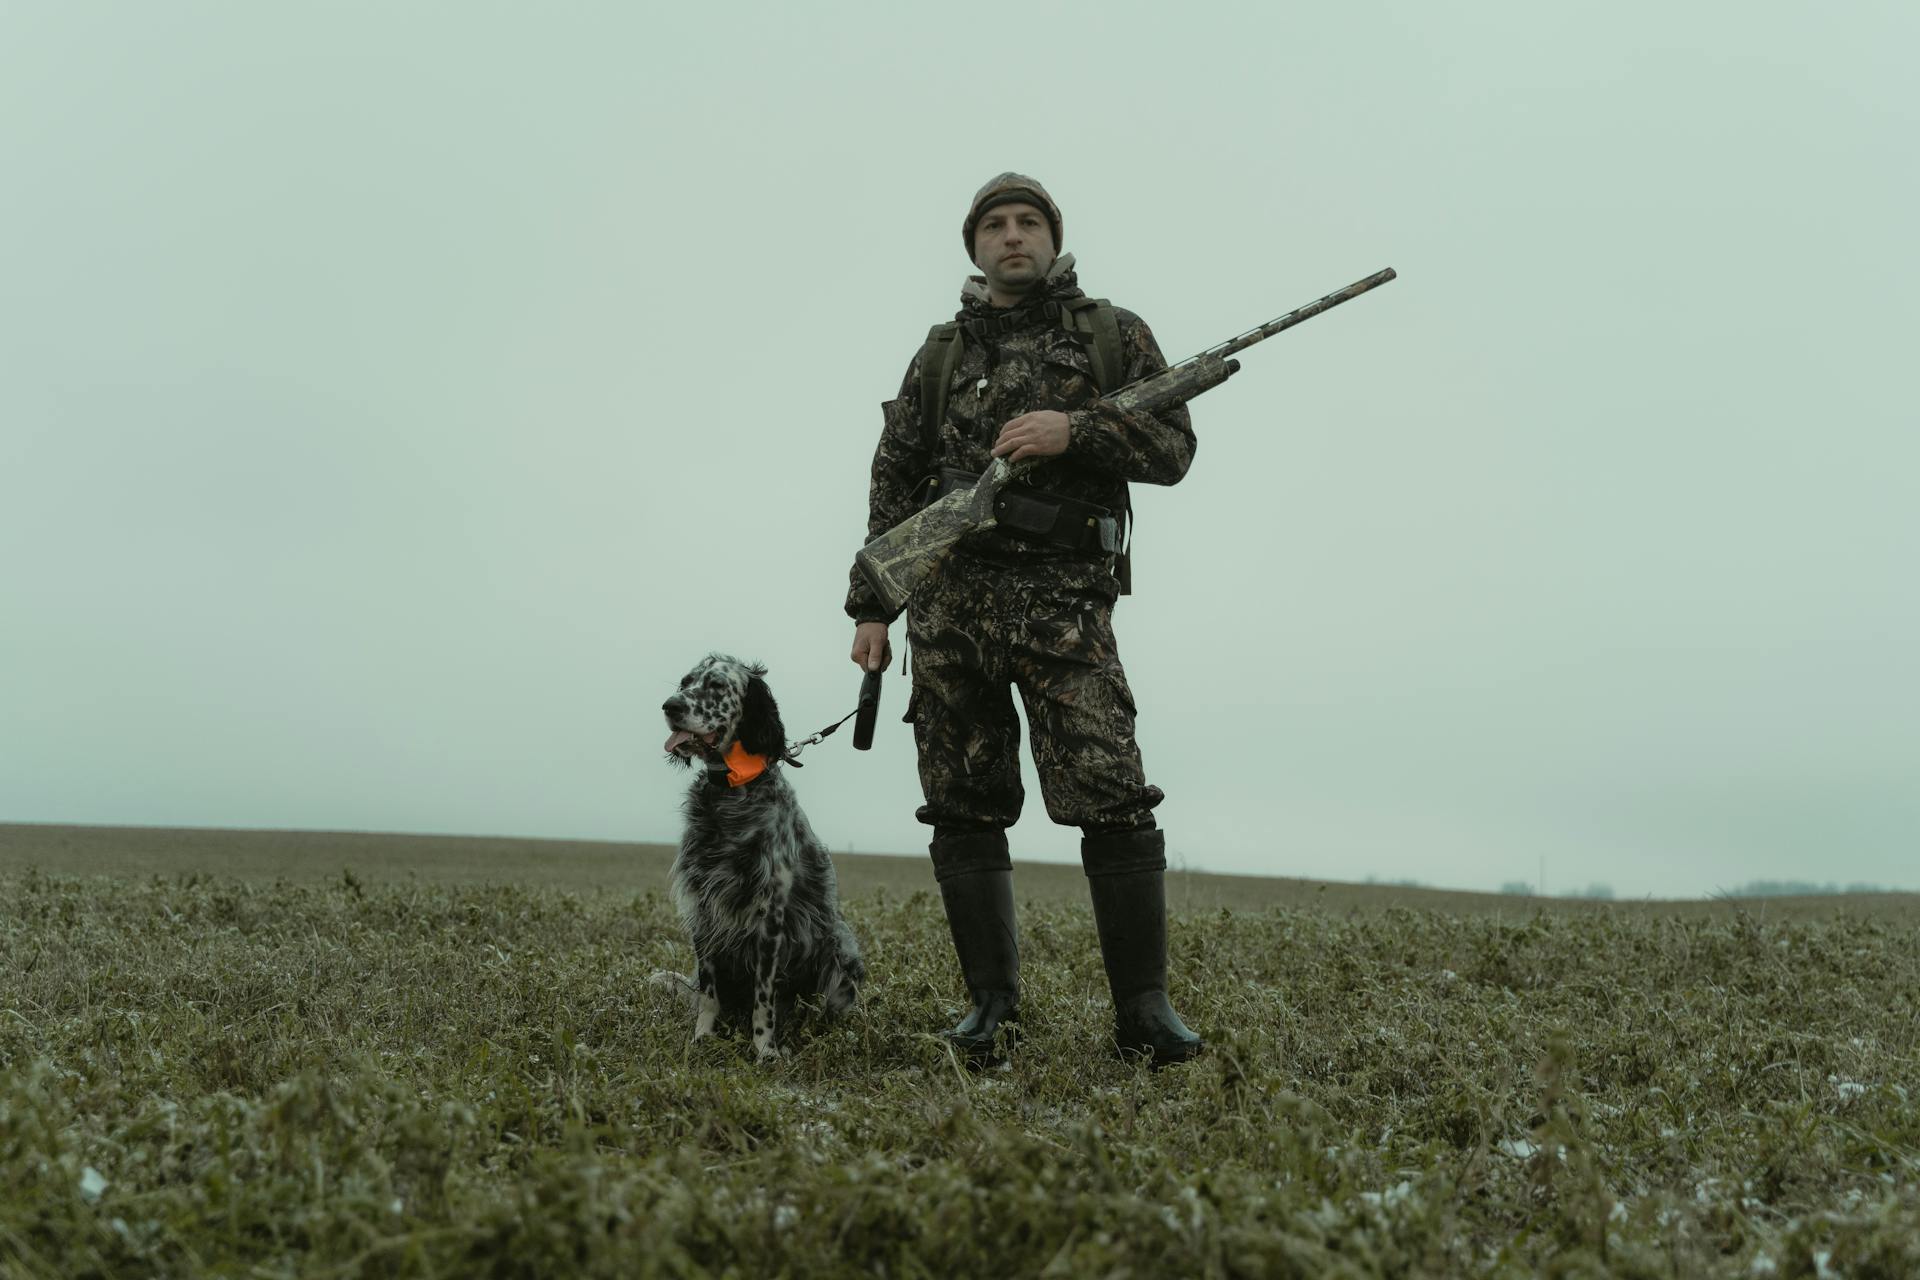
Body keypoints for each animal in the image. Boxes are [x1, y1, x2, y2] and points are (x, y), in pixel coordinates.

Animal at [664, 652, 867, 1059]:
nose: (669, 706)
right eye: (685, 682)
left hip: (839, 947)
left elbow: (764, 996)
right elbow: (709, 993)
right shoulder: (703, 909)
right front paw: (702, 1037)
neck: (731, 791)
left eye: (717, 685)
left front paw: (765, 1050)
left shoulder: (770, 913)